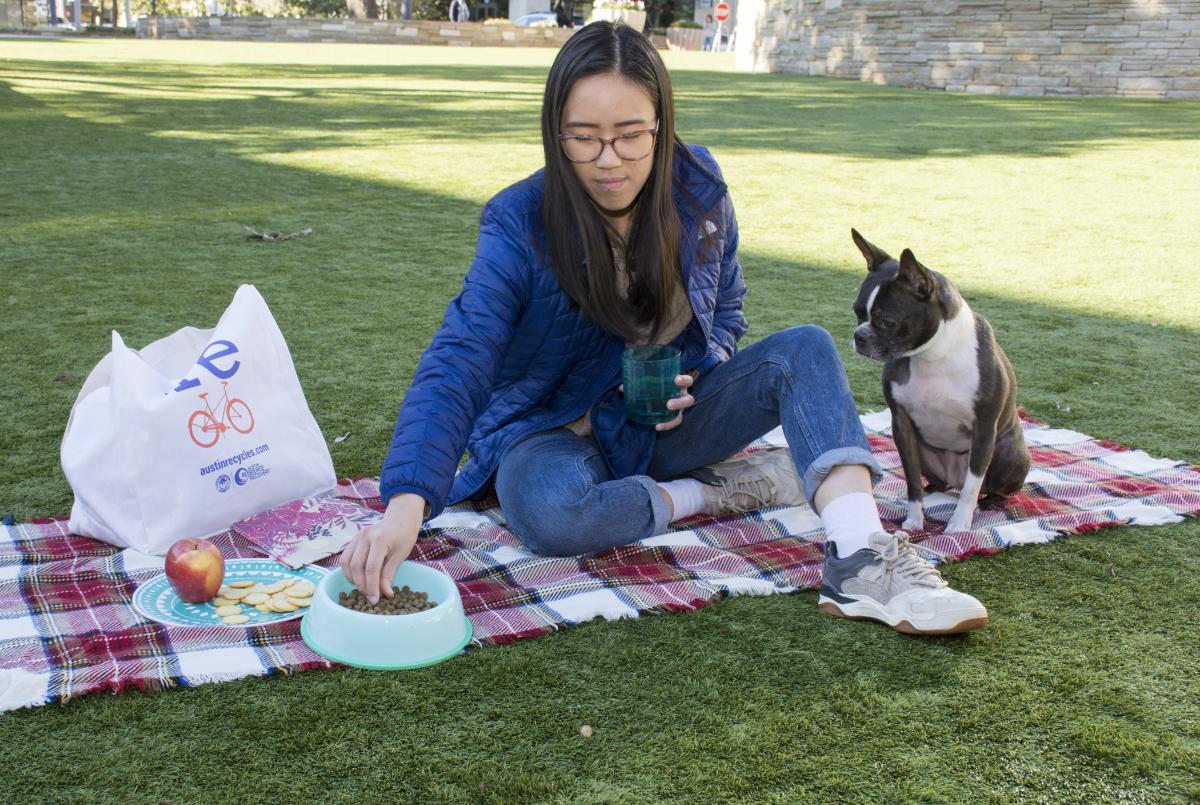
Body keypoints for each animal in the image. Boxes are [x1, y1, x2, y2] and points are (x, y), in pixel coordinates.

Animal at [844, 230, 1032, 535]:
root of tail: (952, 479)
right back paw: (931, 489)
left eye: (887, 322)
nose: (858, 336)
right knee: (934, 481)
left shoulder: (984, 428)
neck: (932, 355)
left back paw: (990, 502)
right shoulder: (901, 423)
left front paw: (959, 524)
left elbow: (971, 487)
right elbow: (911, 479)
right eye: (858, 311)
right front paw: (914, 519)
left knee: (989, 487)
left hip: (1008, 453)